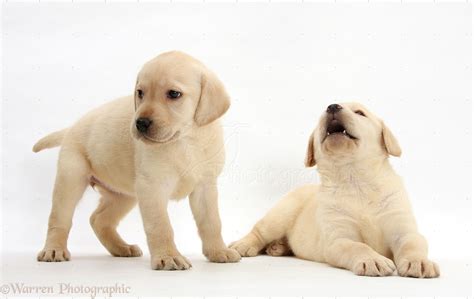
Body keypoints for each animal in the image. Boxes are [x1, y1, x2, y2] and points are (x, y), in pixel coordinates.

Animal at [33, 51, 241, 272]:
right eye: (140, 93)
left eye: (174, 94)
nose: (140, 123)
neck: (185, 140)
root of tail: (72, 127)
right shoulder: (152, 187)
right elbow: (161, 226)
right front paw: (168, 257)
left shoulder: (205, 186)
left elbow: (212, 223)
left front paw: (218, 251)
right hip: (70, 180)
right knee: (59, 220)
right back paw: (53, 250)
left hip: (124, 195)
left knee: (99, 219)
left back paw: (121, 248)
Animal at [231, 103, 438, 278]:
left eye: (360, 112)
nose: (332, 106)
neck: (355, 179)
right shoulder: (338, 239)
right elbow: (358, 246)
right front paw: (373, 260)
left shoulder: (403, 229)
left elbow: (413, 243)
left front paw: (419, 262)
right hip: (280, 214)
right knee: (259, 231)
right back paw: (243, 245)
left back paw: (279, 247)